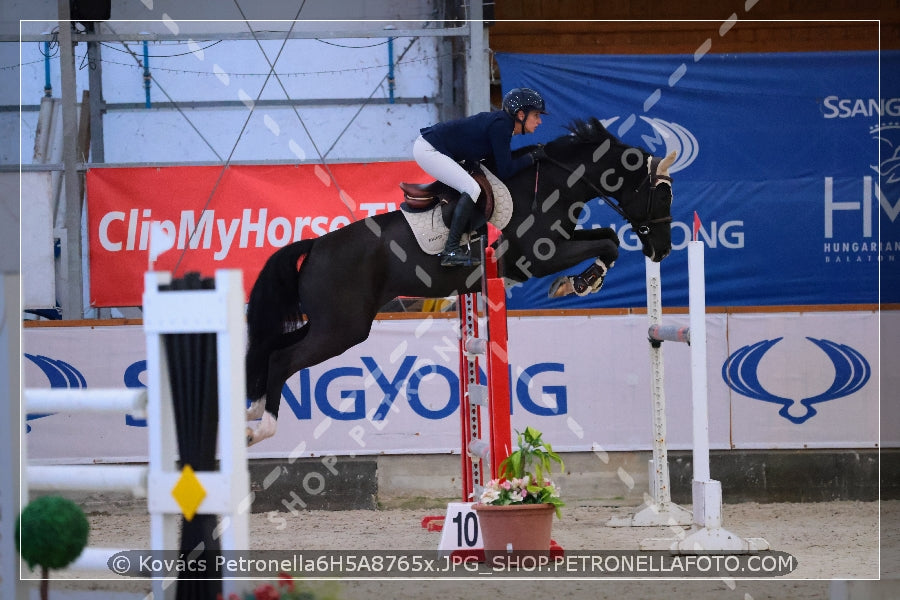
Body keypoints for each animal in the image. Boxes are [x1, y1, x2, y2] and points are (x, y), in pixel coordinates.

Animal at [243, 118, 672, 446]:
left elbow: (608, 238)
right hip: (341, 328)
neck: (554, 185)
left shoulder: (559, 244)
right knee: (283, 358)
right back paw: (261, 428)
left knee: (273, 347)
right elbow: (607, 243)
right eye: (662, 196)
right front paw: (579, 283)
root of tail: (316, 245)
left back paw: (253, 408)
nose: (662, 250)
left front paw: (578, 282)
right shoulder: (538, 258)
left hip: (331, 323)